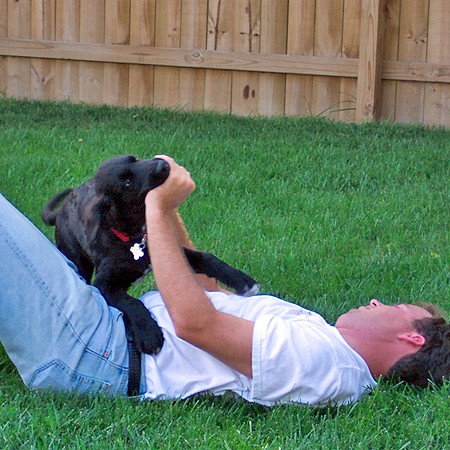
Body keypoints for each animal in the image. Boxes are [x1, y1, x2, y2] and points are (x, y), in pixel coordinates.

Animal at [42, 155, 260, 356]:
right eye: (127, 181)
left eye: (135, 159)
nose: (162, 165)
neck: (133, 237)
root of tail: (61, 210)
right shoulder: (104, 284)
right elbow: (132, 302)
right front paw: (149, 334)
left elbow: (207, 258)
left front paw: (242, 280)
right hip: (78, 259)